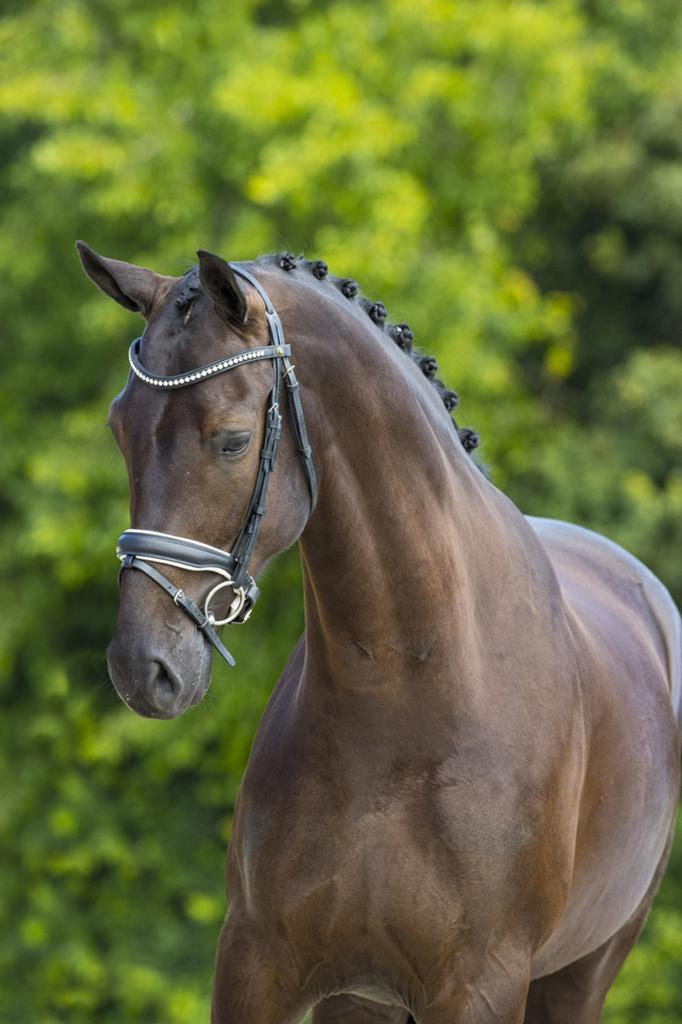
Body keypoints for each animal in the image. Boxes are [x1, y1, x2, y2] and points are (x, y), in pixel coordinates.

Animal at [77, 241, 681, 1024]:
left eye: (233, 440)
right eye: (120, 427)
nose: (141, 666)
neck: (398, 691)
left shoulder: (481, 985)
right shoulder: (256, 963)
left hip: (582, 974)